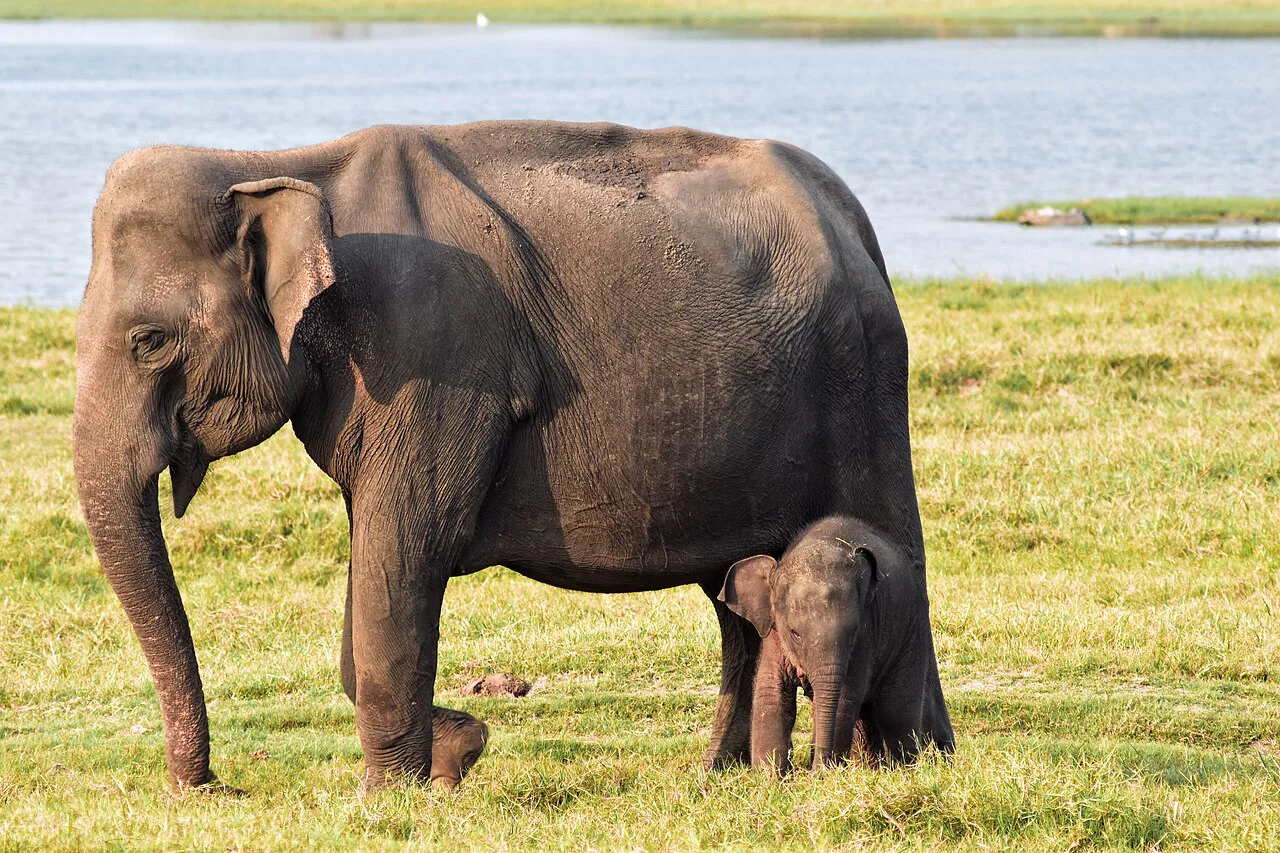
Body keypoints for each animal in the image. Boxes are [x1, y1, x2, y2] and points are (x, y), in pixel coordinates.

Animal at [717, 515, 955, 774]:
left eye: (853, 631)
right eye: (795, 633)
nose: (811, 770)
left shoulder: (865, 637)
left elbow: (843, 698)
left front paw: (823, 773)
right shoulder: (773, 634)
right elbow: (771, 696)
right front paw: (769, 778)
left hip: (912, 633)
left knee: (896, 710)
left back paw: (904, 768)